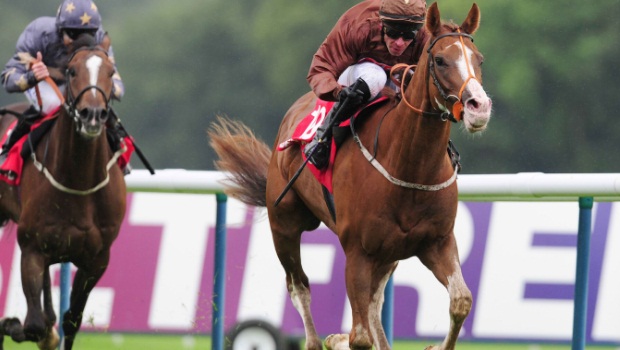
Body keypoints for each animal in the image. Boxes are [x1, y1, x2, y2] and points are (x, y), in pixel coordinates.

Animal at [0, 34, 126, 348]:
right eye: (71, 70)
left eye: (110, 72)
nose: (92, 114)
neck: (79, 180)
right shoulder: (32, 249)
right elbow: (35, 325)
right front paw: (11, 323)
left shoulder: (97, 259)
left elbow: (70, 320)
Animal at [211, 3, 492, 350]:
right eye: (440, 60)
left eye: (479, 59)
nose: (479, 107)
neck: (409, 165)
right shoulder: (358, 251)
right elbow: (359, 337)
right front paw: (341, 338)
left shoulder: (437, 242)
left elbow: (461, 301)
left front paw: (434, 344)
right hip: (284, 225)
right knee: (300, 287)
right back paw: (319, 339)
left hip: (387, 255)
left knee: (373, 303)